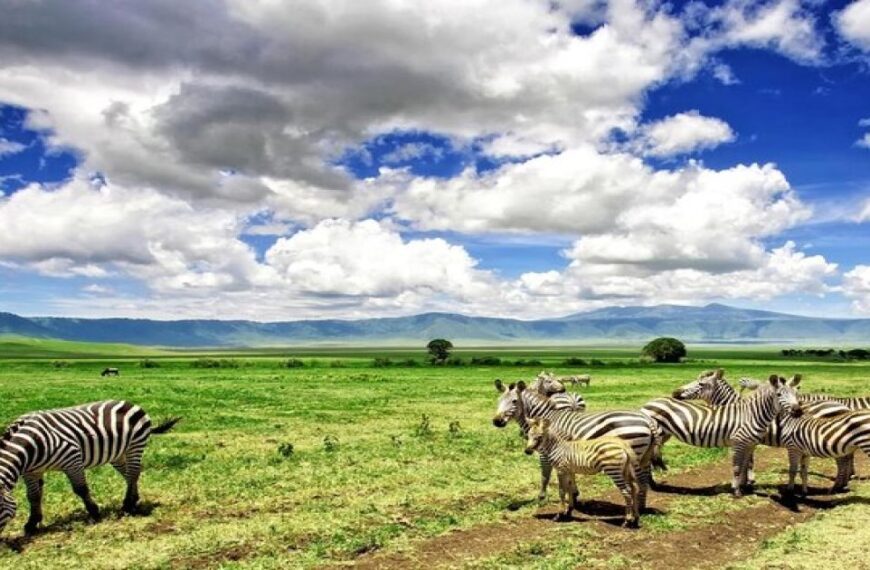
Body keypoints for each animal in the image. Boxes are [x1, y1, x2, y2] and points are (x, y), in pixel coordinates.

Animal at [0, 400, 180, 532]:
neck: (31, 444)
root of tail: (130, 403)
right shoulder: (31, 472)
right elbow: (33, 496)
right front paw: (32, 523)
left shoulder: (72, 459)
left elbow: (81, 489)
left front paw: (94, 512)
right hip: (118, 454)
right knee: (129, 474)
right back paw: (133, 500)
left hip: (135, 445)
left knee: (133, 473)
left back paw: (128, 505)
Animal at [494, 380, 656, 508]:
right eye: (498, 400)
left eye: (514, 401)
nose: (496, 422)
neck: (544, 417)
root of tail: (646, 419)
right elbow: (570, 475)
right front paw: (574, 495)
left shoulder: (545, 452)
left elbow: (545, 475)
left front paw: (541, 498)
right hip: (643, 455)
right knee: (644, 479)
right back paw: (641, 507)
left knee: (640, 480)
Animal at [644, 372, 800, 492]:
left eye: (701, 384)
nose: (675, 393)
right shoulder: (746, 442)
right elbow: (745, 464)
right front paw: (744, 484)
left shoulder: (751, 442)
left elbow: (746, 463)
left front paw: (745, 483)